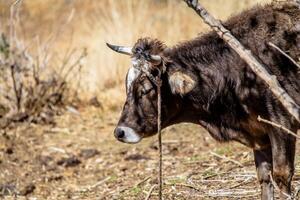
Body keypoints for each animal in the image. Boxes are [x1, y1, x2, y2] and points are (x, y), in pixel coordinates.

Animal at [106, 2, 298, 199]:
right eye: (127, 86)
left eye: (146, 90)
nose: (120, 132)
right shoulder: (258, 134)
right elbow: (265, 178)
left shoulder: (282, 125)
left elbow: (281, 175)